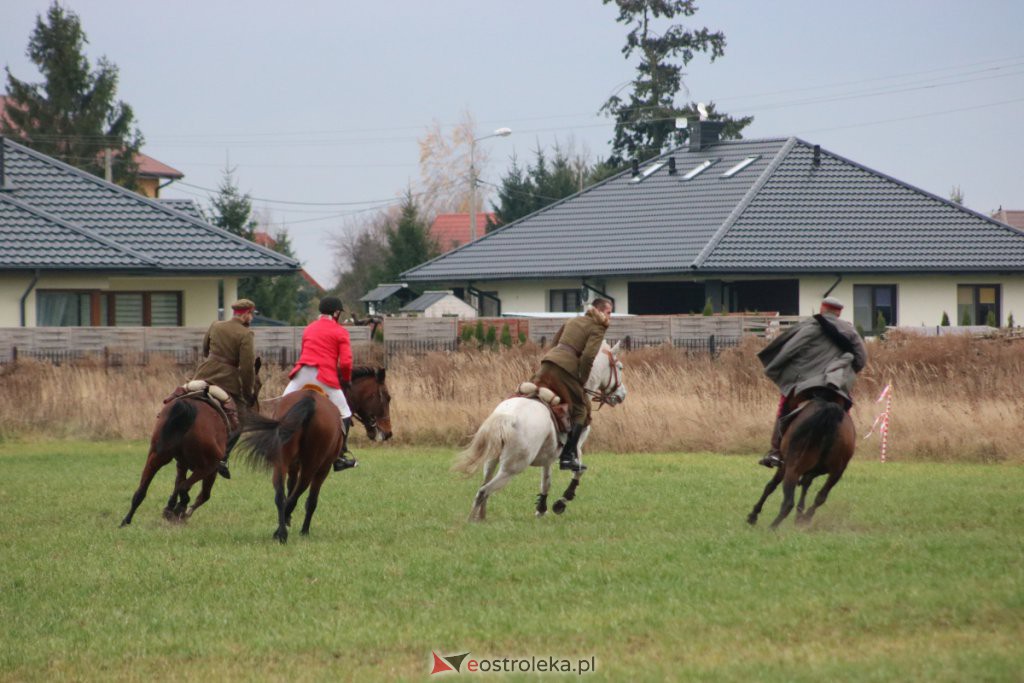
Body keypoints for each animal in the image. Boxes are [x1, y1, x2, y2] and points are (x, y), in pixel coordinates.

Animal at [120, 358, 264, 528]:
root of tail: (187, 407)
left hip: (156, 456)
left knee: (141, 491)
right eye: (259, 384)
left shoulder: (181, 464)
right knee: (186, 489)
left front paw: (170, 508)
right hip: (208, 467)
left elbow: (178, 483)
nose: (256, 408)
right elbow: (201, 494)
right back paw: (180, 509)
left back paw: (126, 520)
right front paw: (179, 510)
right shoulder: (210, 471)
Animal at [237, 389, 342, 544]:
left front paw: (287, 521)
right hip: (312, 465)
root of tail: (310, 397)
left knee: (280, 494)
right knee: (298, 494)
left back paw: (281, 533)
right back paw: (283, 531)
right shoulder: (323, 470)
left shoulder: (293, 466)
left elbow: (290, 487)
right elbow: (311, 501)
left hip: (282, 459)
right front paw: (303, 531)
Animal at [454, 339, 622, 520]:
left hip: (492, 461)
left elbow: (546, 482)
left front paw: (541, 508)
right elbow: (578, 472)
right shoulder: (576, 448)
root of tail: (507, 418)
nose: (622, 395)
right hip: (512, 468)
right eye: (620, 367)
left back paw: (481, 517)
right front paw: (561, 502)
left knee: (484, 485)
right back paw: (472, 521)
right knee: (483, 491)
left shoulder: (549, 456)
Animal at [745, 389, 856, 528]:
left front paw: (753, 515)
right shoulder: (815, 471)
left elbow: (770, 486)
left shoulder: (784, 465)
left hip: (792, 468)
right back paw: (806, 517)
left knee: (788, 502)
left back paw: (771, 528)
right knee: (821, 496)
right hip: (837, 471)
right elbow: (806, 484)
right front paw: (800, 516)